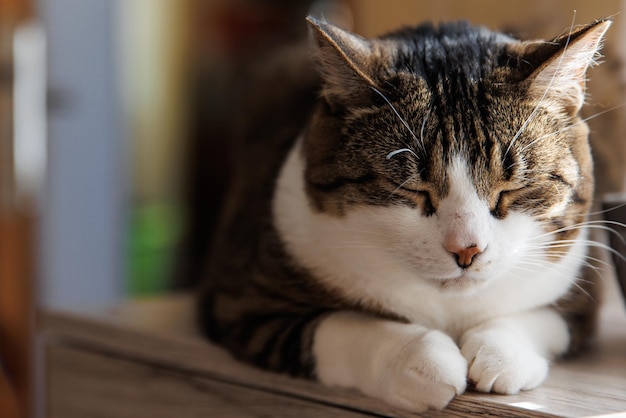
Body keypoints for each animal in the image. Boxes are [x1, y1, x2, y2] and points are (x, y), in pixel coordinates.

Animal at [196, 16, 608, 412]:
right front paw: (419, 361)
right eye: (411, 189)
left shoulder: (581, 291)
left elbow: (545, 317)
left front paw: (502, 353)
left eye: (512, 189)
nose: (466, 250)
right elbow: (338, 326)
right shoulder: (242, 301)